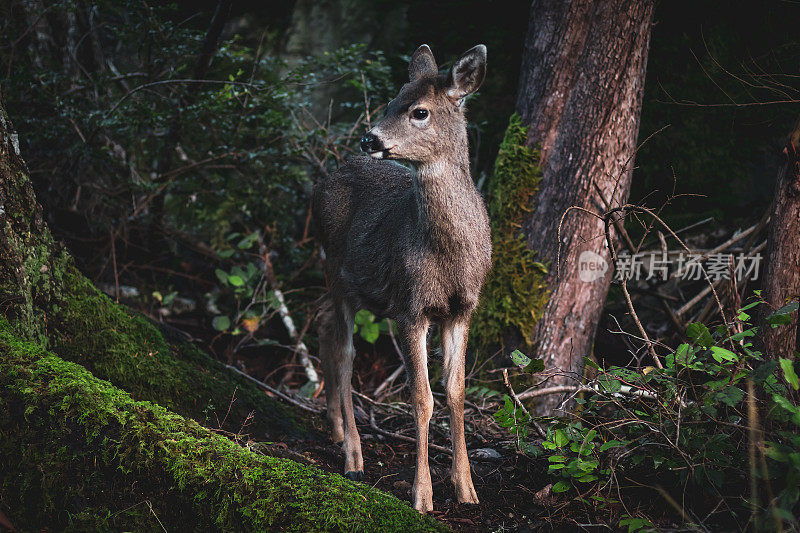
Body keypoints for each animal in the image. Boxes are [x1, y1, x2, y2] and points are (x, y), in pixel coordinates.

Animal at [310, 44, 488, 512]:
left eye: (419, 111)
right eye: (390, 101)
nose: (370, 138)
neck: (448, 259)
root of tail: (327, 177)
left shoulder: (463, 310)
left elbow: (457, 391)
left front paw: (466, 489)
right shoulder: (411, 308)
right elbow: (422, 397)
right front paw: (422, 494)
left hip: (353, 285)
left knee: (322, 322)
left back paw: (336, 429)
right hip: (335, 266)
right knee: (345, 351)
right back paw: (354, 456)